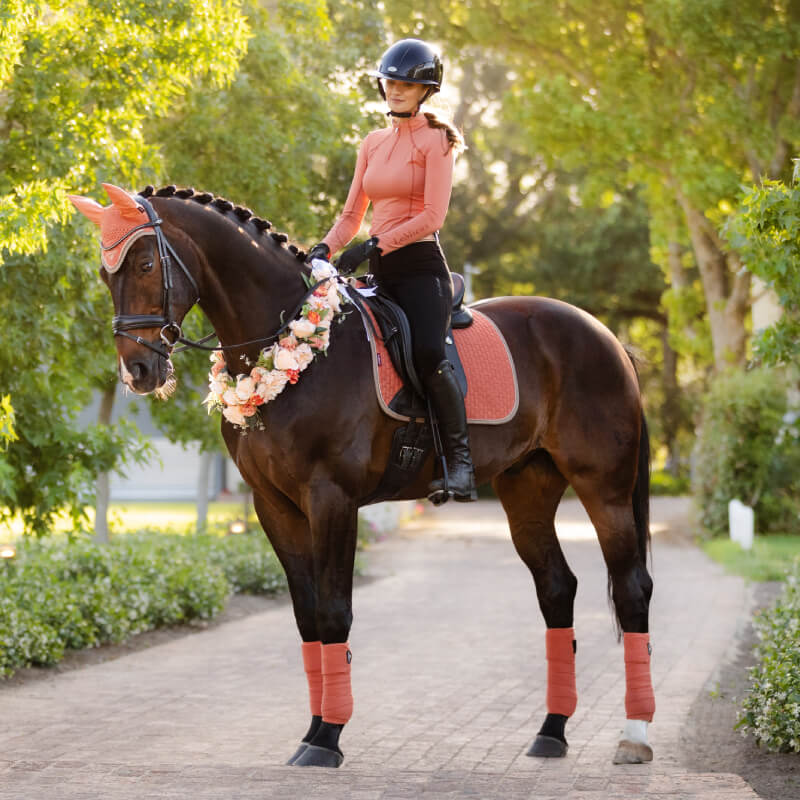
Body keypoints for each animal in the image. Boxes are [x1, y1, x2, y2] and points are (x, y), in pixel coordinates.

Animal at [70, 183, 656, 768]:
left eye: (146, 263)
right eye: (104, 273)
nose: (138, 371)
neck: (287, 346)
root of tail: (605, 335)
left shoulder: (332, 498)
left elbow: (335, 612)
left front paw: (327, 739)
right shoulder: (274, 506)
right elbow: (307, 616)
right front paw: (312, 730)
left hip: (603, 488)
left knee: (632, 588)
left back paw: (635, 734)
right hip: (527, 490)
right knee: (557, 588)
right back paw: (551, 732)